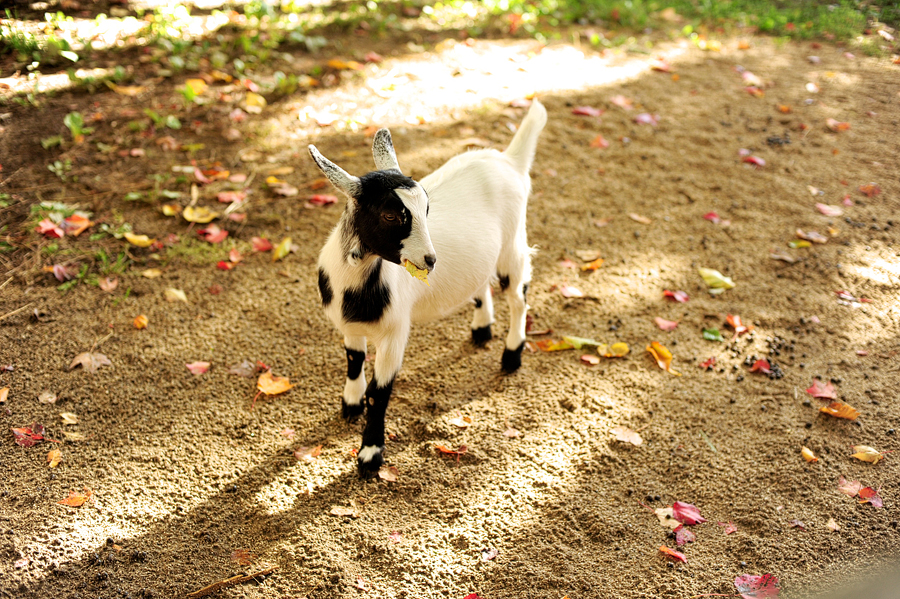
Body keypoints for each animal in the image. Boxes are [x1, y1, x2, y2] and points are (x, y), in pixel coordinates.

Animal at [310, 99, 548, 478]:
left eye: (426, 208)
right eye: (391, 215)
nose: (431, 259)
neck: (359, 286)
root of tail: (509, 159)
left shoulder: (395, 334)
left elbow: (380, 392)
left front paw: (370, 455)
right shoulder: (350, 326)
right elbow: (353, 360)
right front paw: (350, 404)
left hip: (513, 245)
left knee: (518, 297)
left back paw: (512, 354)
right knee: (481, 282)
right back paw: (482, 329)